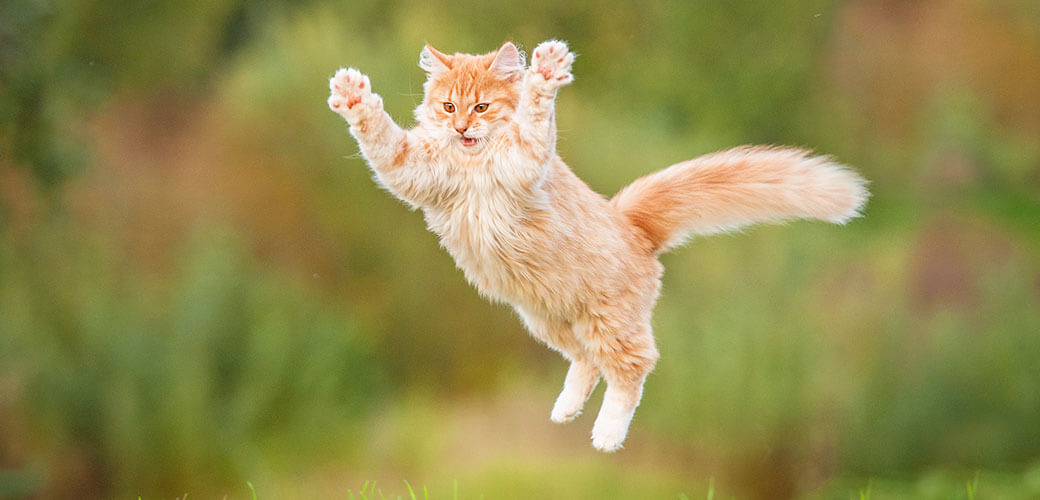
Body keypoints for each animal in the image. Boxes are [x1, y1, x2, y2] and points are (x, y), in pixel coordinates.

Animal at [328, 40, 865, 453]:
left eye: (480, 107)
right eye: (447, 107)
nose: (460, 128)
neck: (472, 164)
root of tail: (630, 223)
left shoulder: (527, 162)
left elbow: (535, 116)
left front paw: (546, 72)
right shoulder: (412, 170)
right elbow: (380, 136)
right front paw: (353, 96)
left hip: (610, 323)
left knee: (633, 369)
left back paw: (606, 435)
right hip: (548, 319)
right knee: (586, 363)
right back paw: (565, 411)